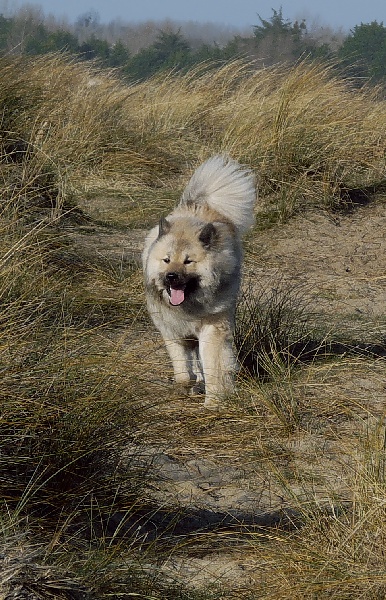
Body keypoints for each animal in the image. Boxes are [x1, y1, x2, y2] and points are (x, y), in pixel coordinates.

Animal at [142, 154, 256, 408]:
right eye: (166, 260)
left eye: (188, 261)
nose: (171, 276)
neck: (188, 306)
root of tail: (200, 206)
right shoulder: (172, 330)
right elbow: (182, 368)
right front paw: (186, 383)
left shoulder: (213, 328)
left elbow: (214, 364)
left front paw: (214, 399)